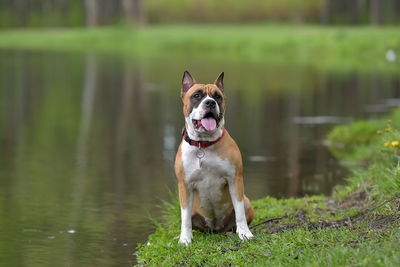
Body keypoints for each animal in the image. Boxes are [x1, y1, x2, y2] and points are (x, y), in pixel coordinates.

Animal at [174, 70, 253, 245]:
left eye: (218, 96)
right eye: (196, 95)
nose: (210, 102)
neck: (204, 145)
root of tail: (215, 228)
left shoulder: (235, 180)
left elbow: (240, 213)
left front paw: (245, 233)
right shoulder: (185, 185)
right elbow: (185, 218)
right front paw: (185, 238)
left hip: (247, 202)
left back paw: (232, 232)